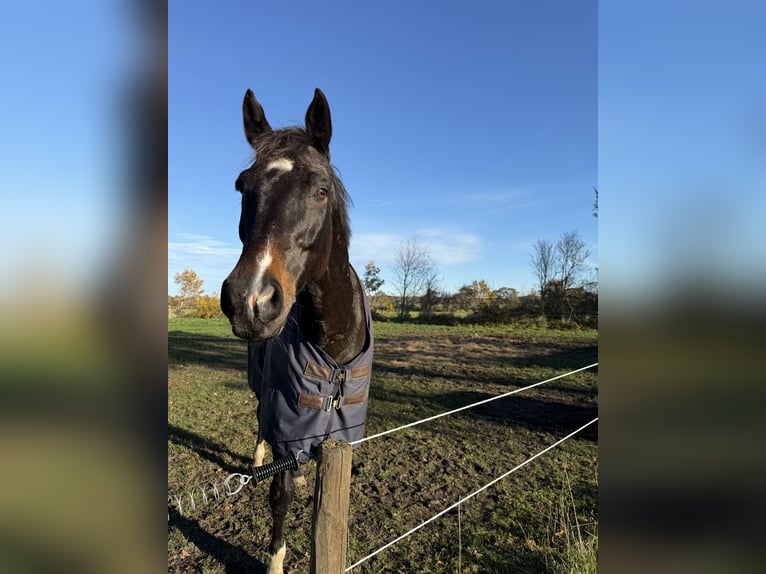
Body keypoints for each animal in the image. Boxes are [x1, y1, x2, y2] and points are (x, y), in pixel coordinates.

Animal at [220, 88, 372, 574]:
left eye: (321, 190)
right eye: (242, 186)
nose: (249, 300)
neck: (332, 346)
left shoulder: (339, 434)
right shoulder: (285, 420)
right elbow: (280, 494)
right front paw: (275, 561)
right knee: (260, 424)